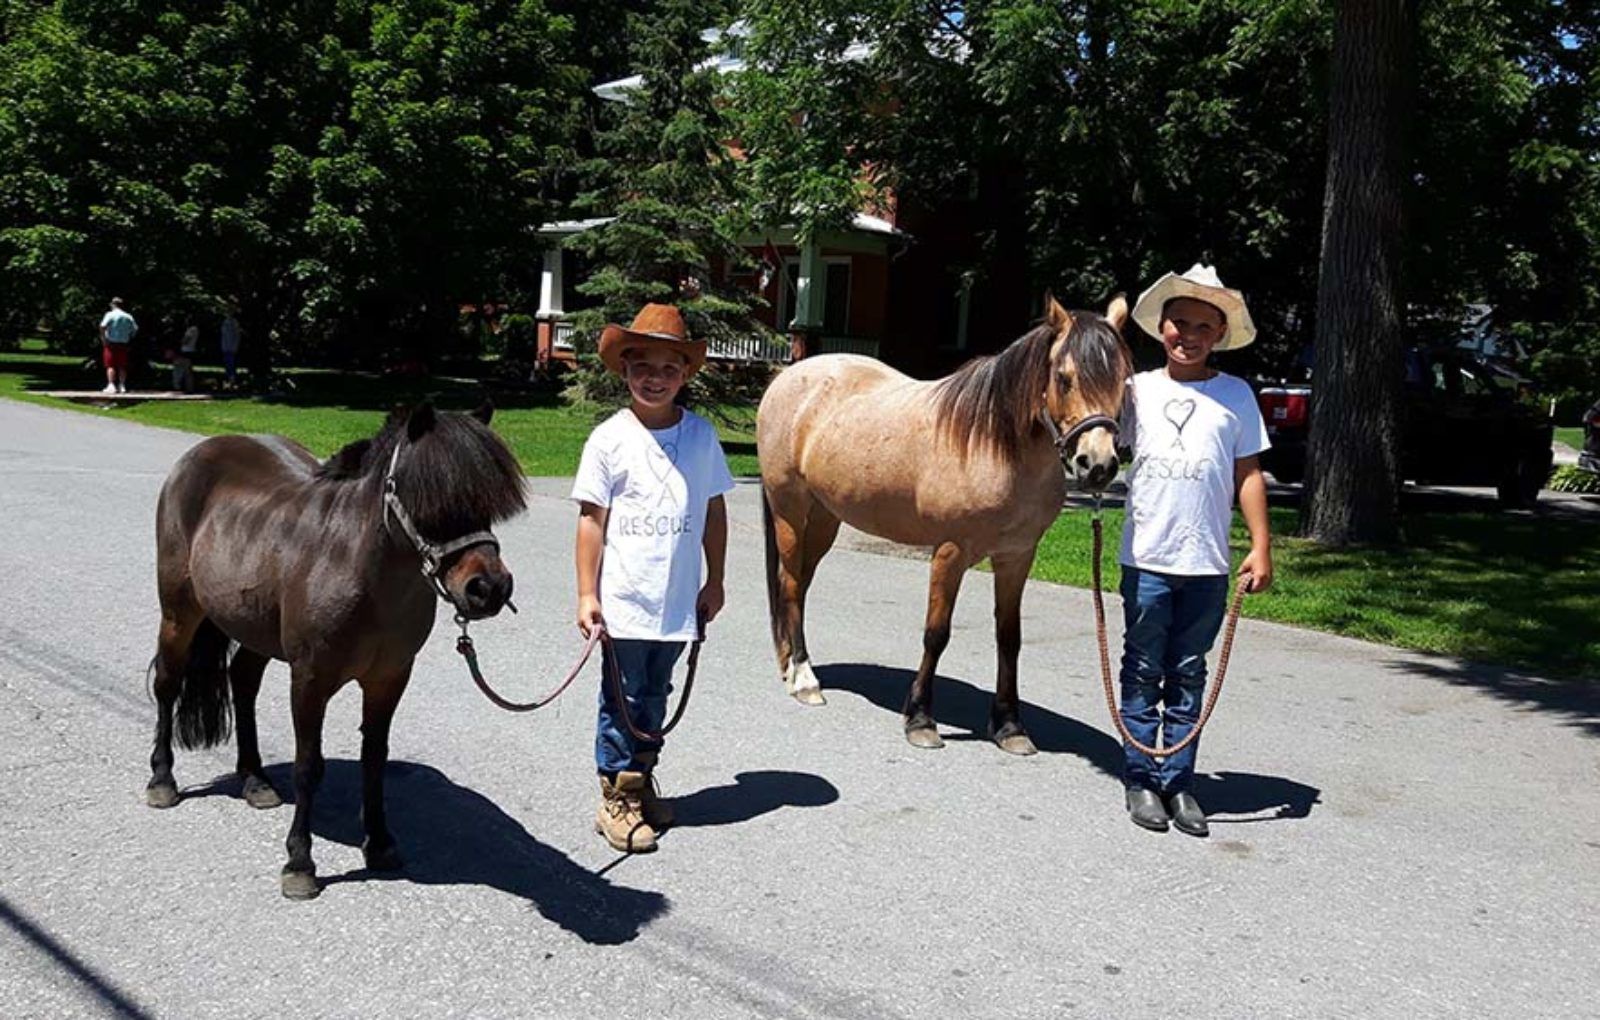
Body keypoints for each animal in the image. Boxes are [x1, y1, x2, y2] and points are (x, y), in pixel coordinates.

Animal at [145, 401, 526, 900]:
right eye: (429, 496)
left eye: (485, 503)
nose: (489, 589)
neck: (355, 566)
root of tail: (197, 456)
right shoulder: (310, 678)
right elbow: (309, 766)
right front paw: (299, 863)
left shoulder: (390, 677)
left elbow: (375, 757)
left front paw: (379, 842)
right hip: (179, 613)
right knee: (167, 684)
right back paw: (162, 779)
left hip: (254, 627)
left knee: (242, 682)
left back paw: (255, 779)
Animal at [757, 296, 1132, 753]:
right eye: (1063, 379)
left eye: (1123, 381)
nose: (1097, 466)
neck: (994, 446)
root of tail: (787, 377)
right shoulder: (950, 552)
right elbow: (936, 633)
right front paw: (920, 719)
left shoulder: (1017, 557)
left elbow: (1009, 638)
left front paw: (1010, 726)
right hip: (790, 510)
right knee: (792, 585)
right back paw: (805, 681)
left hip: (825, 517)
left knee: (796, 584)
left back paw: (790, 666)